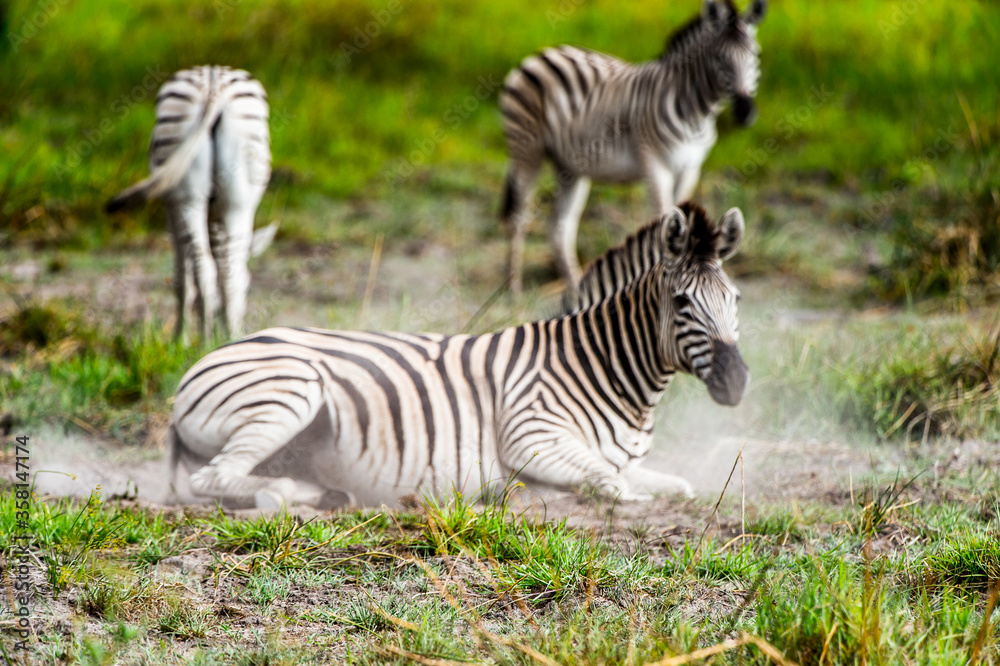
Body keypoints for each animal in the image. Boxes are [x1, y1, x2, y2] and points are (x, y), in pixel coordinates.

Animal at [106, 65, 274, 341]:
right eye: (252, 286)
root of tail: (213, 84)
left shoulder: (171, 210)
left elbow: (182, 275)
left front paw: (183, 338)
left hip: (191, 192)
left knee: (207, 268)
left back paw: (203, 341)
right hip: (232, 199)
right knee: (226, 272)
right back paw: (218, 339)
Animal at [168, 203, 749, 509]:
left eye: (736, 299)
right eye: (682, 303)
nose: (737, 383)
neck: (601, 368)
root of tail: (207, 358)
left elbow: (672, 482)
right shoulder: (531, 436)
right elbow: (615, 484)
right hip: (290, 389)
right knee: (212, 479)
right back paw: (291, 492)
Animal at [500, 0, 766, 295]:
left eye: (755, 54)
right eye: (720, 59)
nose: (745, 112)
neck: (696, 111)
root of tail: (540, 53)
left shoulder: (690, 168)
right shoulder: (655, 163)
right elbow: (664, 221)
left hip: (569, 166)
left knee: (560, 227)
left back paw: (577, 290)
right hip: (527, 149)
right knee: (519, 217)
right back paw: (513, 288)